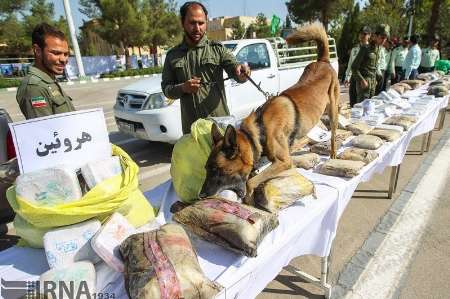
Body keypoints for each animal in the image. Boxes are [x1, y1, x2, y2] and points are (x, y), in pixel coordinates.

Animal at [200, 22, 338, 206]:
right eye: (206, 168)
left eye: (216, 170)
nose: (200, 195)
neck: (259, 130)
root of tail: (322, 61)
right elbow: (251, 178)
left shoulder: (283, 161)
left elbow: (250, 182)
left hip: (333, 111)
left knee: (333, 135)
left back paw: (333, 153)